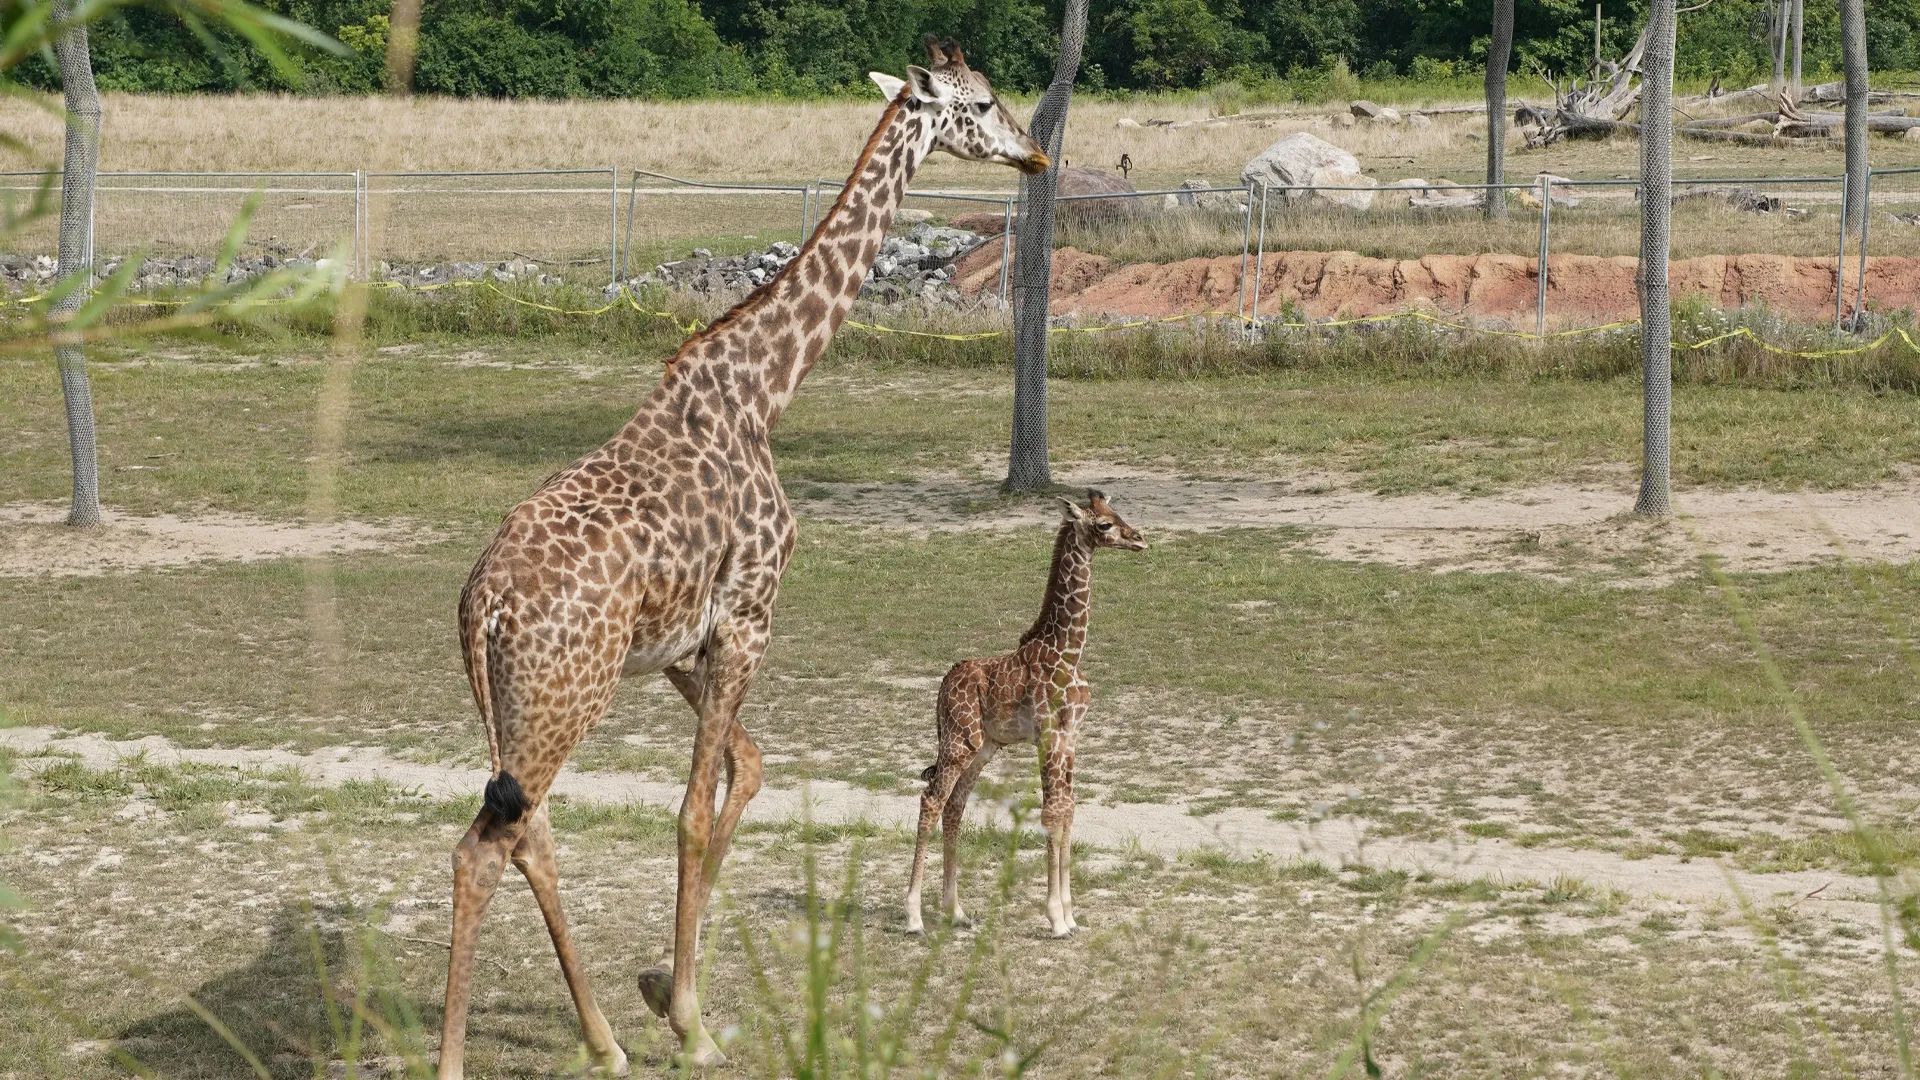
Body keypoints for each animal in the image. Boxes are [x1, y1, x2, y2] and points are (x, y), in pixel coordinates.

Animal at [436, 38, 1047, 1077]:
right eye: (982, 102)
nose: (1036, 153)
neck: (765, 391)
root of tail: (481, 607)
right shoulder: (753, 616)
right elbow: (692, 809)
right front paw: (692, 1019)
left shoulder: (682, 643)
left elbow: (748, 770)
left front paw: (660, 989)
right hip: (566, 697)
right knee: (484, 846)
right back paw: (463, 1056)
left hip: (529, 709)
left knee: (526, 832)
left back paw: (604, 1040)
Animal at [905, 490, 1147, 939]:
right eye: (1104, 524)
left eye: (1116, 511)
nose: (1140, 539)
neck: (1068, 650)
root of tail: (943, 686)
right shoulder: (1049, 736)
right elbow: (1052, 814)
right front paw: (1056, 919)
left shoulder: (1071, 738)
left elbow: (1068, 810)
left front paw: (1071, 914)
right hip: (958, 741)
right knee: (931, 800)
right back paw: (913, 916)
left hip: (983, 748)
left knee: (954, 807)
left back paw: (956, 911)